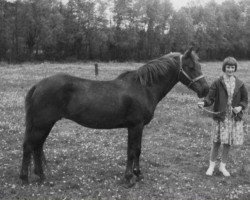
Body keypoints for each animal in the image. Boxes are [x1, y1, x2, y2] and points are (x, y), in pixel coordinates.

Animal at [20, 47, 209, 188]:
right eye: (191, 67)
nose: (205, 90)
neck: (143, 88)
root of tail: (38, 85)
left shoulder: (136, 127)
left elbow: (136, 150)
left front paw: (137, 174)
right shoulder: (136, 126)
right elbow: (133, 151)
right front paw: (130, 178)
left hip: (45, 124)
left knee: (37, 147)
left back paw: (41, 176)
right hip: (42, 124)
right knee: (30, 146)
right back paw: (25, 178)